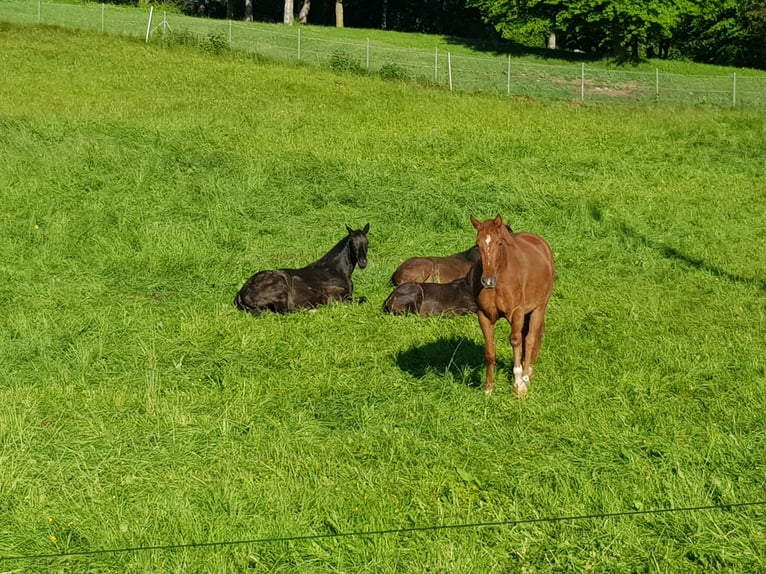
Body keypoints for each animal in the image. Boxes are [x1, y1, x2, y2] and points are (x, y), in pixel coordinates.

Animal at [236, 224, 370, 316]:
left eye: (367, 242)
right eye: (352, 243)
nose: (363, 263)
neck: (336, 270)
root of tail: (241, 292)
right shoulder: (338, 297)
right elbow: (362, 299)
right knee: (285, 311)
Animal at [472, 216, 556, 400]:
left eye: (499, 243)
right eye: (477, 244)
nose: (487, 281)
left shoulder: (517, 312)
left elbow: (516, 341)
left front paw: (519, 385)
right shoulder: (484, 316)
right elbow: (489, 352)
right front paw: (489, 388)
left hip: (539, 308)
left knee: (530, 339)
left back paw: (525, 376)